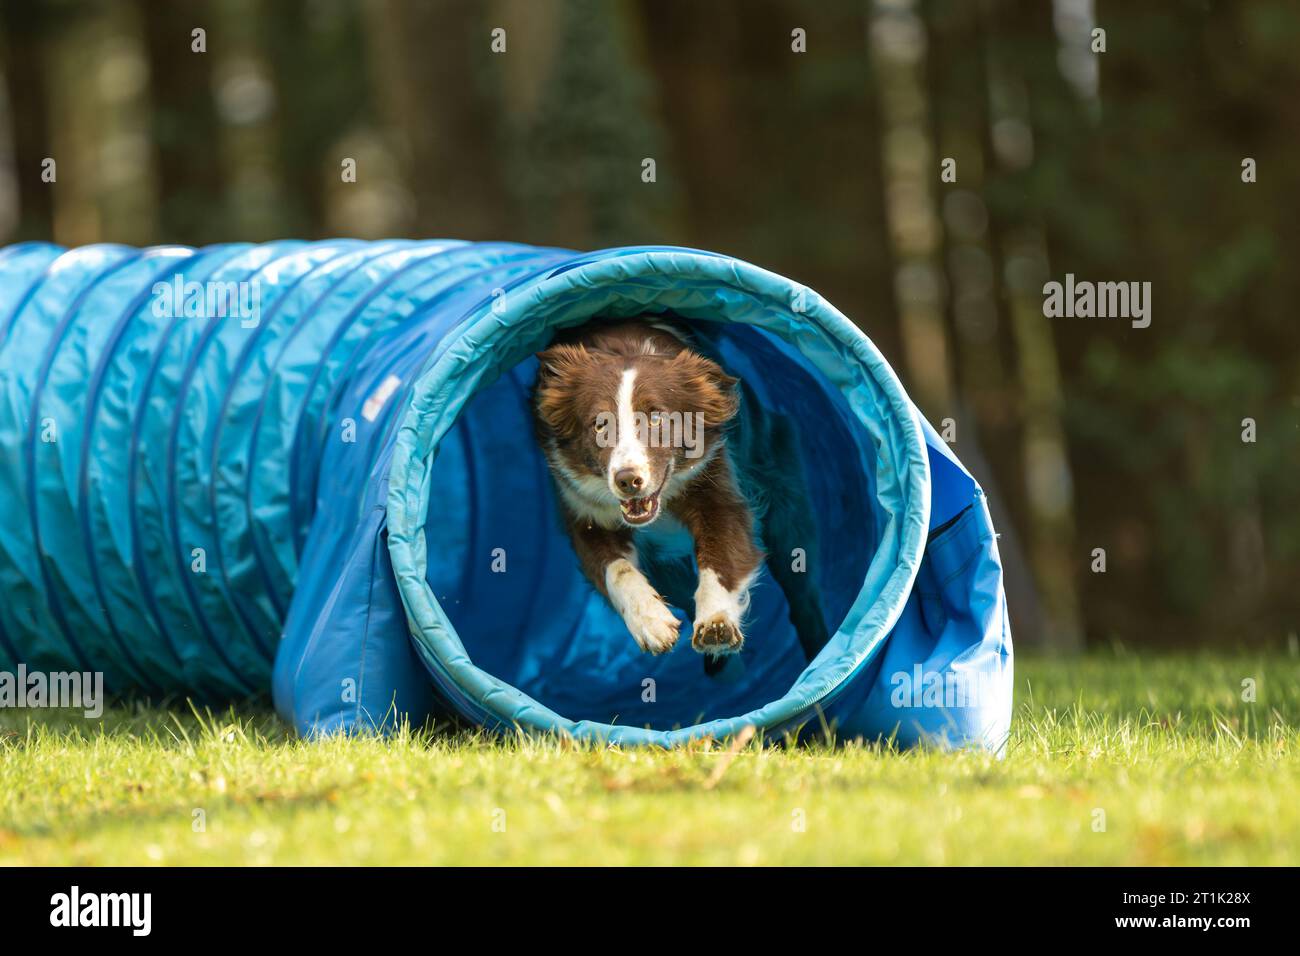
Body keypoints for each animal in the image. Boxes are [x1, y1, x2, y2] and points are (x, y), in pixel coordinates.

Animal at [530, 317, 826, 671]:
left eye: (658, 417)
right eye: (599, 424)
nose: (628, 480)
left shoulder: (715, 482)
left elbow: (721, 553)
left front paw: (716, 623)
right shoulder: (583, 508)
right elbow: (615, 568)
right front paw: (652, 622)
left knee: (803, 590)